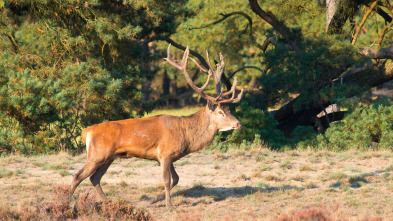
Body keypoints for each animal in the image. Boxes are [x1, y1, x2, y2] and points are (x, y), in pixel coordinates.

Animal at [69, 44, 242, 207]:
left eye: (228, 109)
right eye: (220, 112)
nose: (238, 123)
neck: (186, 136)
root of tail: (87, 131)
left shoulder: (169, 156)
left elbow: (176, 179)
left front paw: (154, 199)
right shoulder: (165, 153)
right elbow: (167, 180)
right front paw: (169, 205)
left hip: (109, 157)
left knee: (94, 178)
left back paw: (108, 203)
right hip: (97, 154)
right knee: (78, 176)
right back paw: (66, 201)